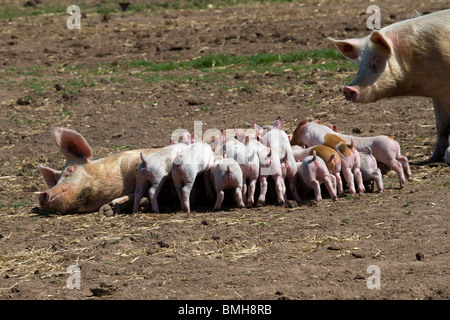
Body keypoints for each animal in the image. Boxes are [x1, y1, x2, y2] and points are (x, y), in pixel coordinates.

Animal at [328, 10, 448, 162]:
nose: (348, 89)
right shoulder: (437, 94)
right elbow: (441, 125)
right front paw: (432, 159)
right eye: (359, 63)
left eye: (377, 59)